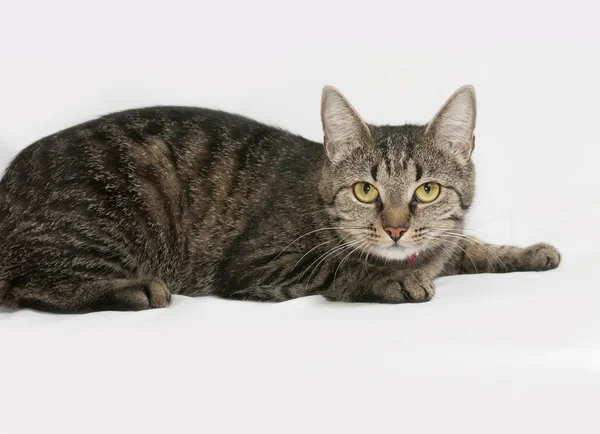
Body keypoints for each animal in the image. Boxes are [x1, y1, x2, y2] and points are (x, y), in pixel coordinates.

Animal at [0, 85, 560, 312]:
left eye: (427, 190)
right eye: (365, 191)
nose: (397, 228)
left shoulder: (442, 238)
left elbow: (466, 246)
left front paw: (529, 252)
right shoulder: (256, 265)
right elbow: (339, 266)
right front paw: (390, 279)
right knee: (31, 285)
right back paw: (135, 289)